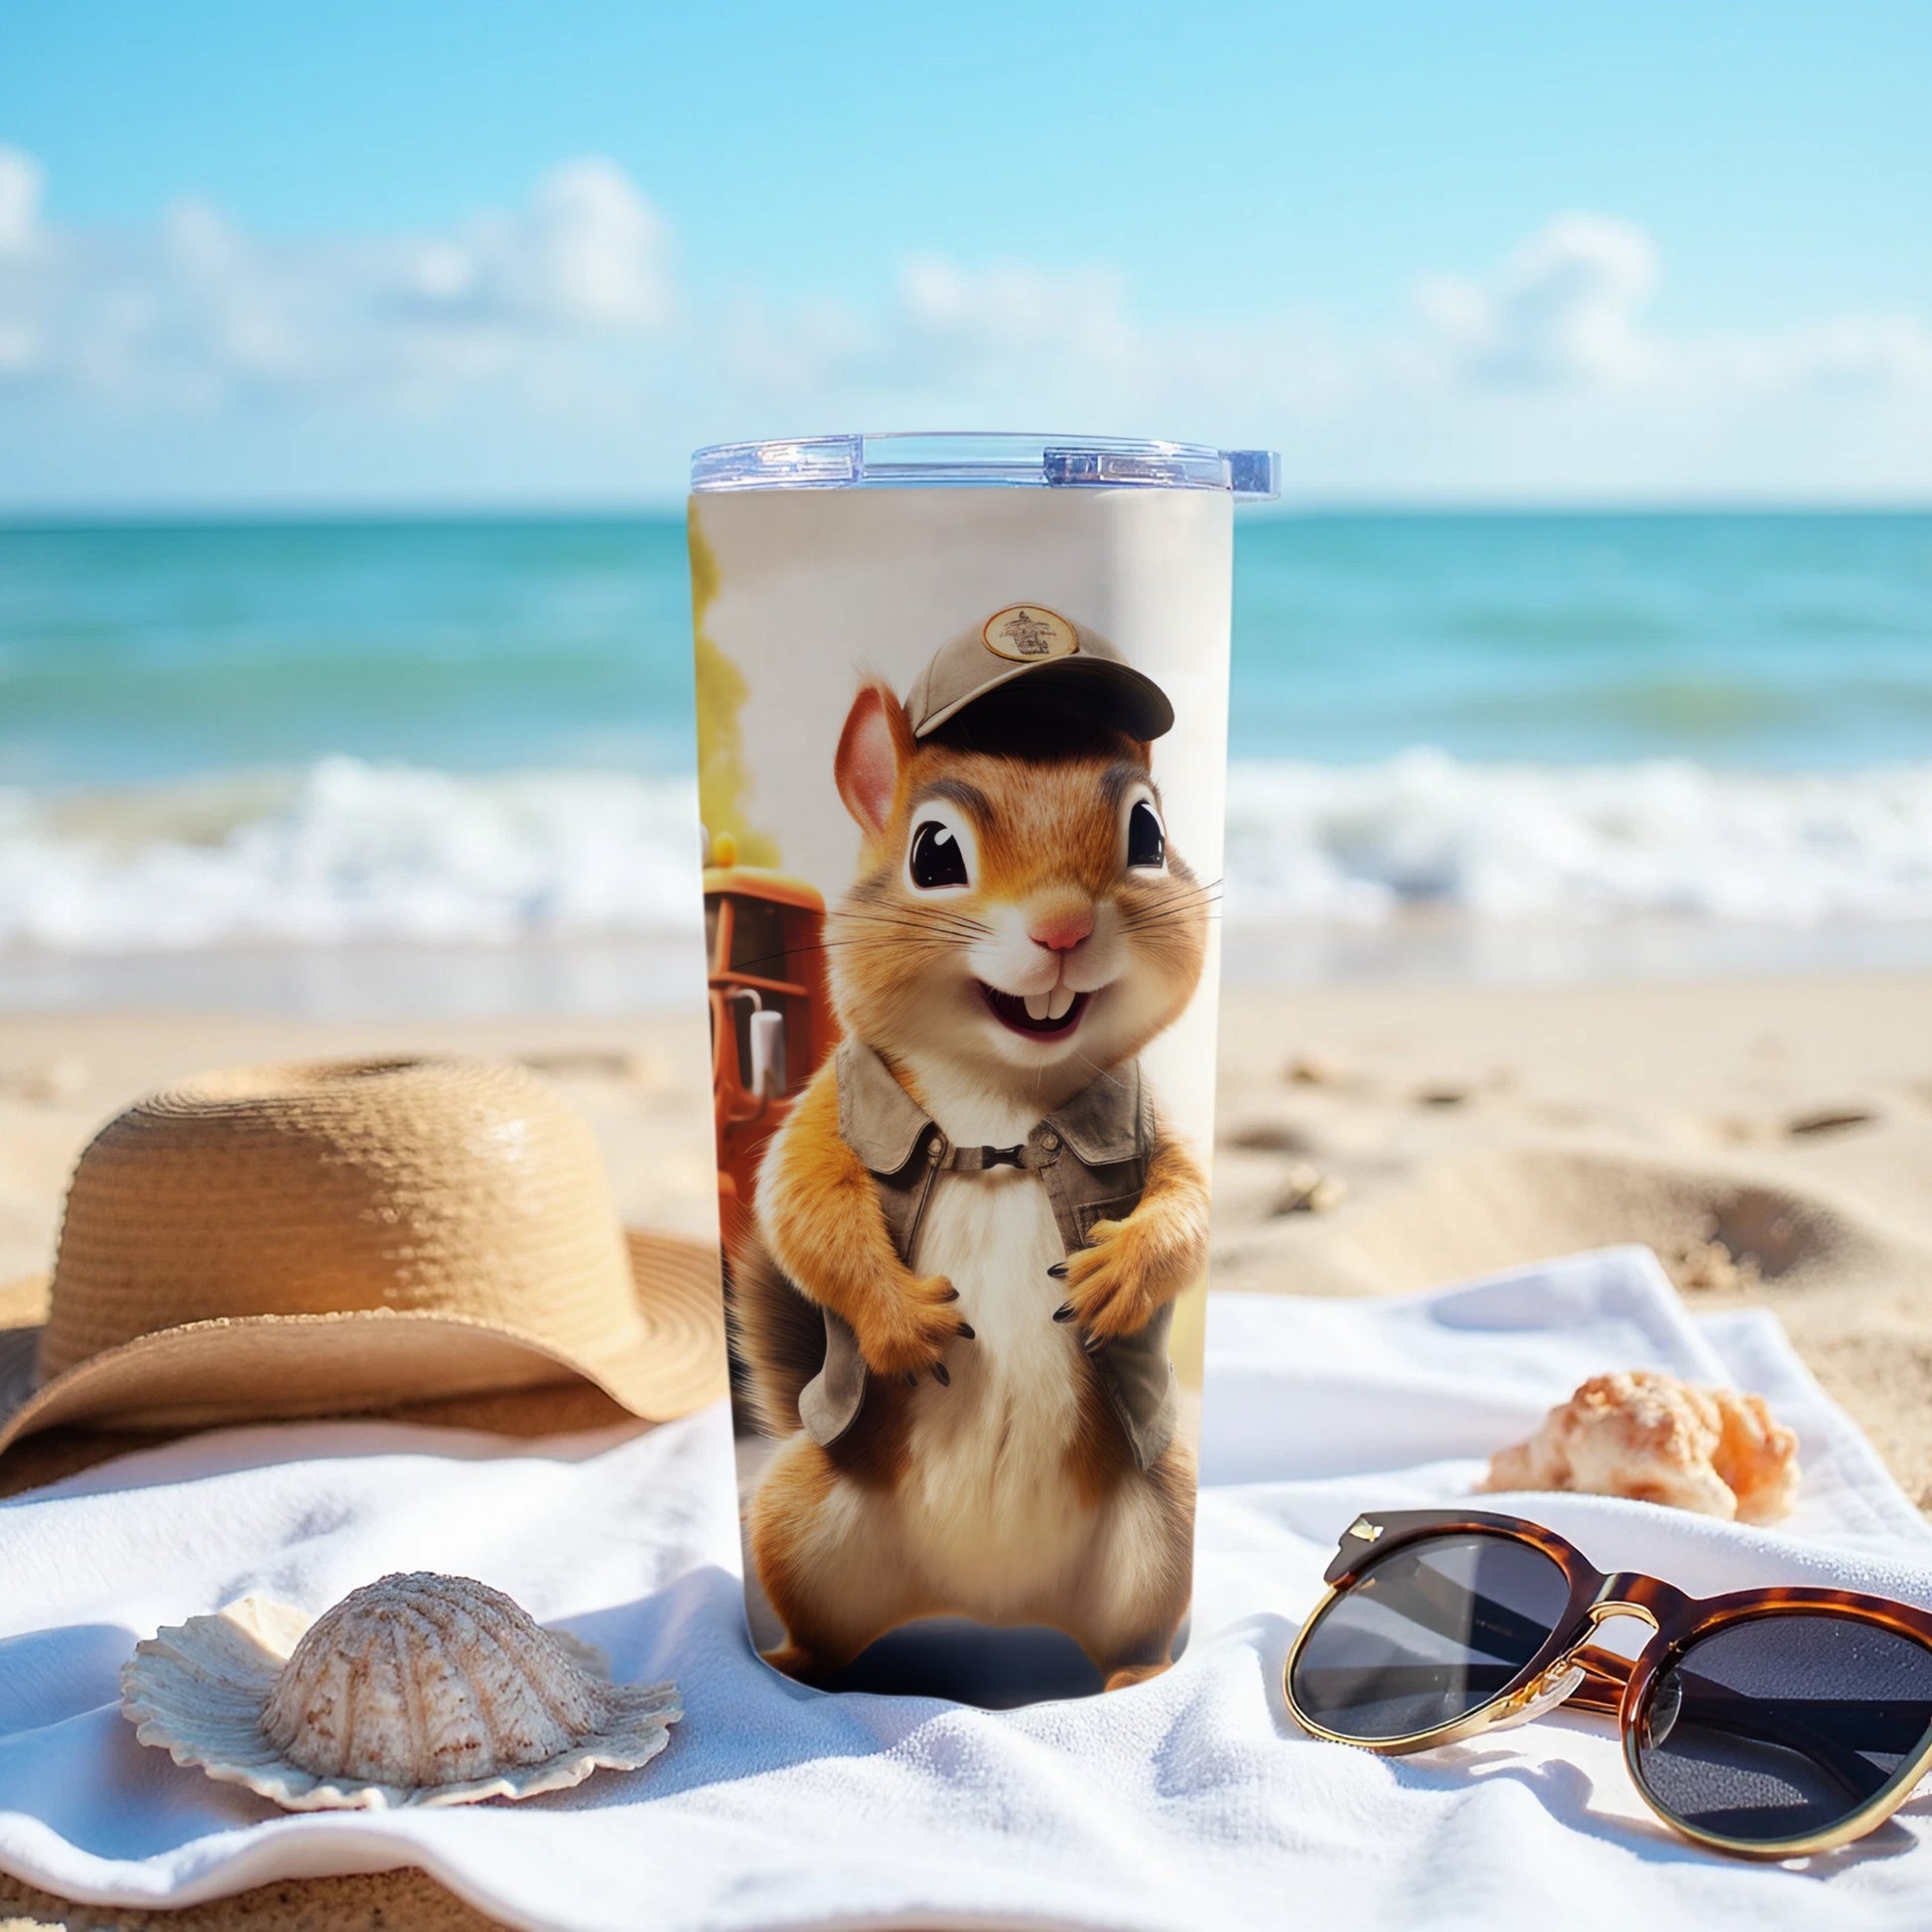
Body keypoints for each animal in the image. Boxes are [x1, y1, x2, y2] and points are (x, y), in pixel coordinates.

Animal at [730, 646, 1212, 1694]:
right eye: (934, 855)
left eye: (1149, 835)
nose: (1063, 928)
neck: (1000, 1097)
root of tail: (994, 1608)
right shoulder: (826, 1111)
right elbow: (805, 1211)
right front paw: (897, 1317)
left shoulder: (1149, 1119)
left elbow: (1191, 1208)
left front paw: (1123, 1272)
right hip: (797, 1517)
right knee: (823, 1625)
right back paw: (803, 1669)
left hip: (1164, 1521)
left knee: (1137, 1628)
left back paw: (1136, 1678)